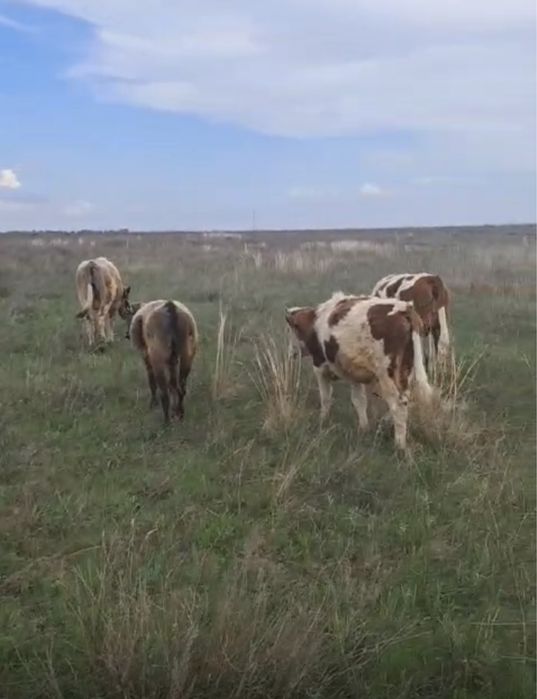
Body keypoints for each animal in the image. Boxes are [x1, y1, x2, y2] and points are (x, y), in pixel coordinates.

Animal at [285, 292, 432, 451]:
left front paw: (323, 421)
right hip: (405, 372)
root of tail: (404, 308)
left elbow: (325, 397)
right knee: (406, 400)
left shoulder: (319, 367)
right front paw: (363, 429)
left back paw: (399, 445)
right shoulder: (354, 375)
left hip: (387, 375)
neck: (317, 320)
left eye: (291, 330)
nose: (291, 353)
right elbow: (359, 401)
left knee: (397, 405)